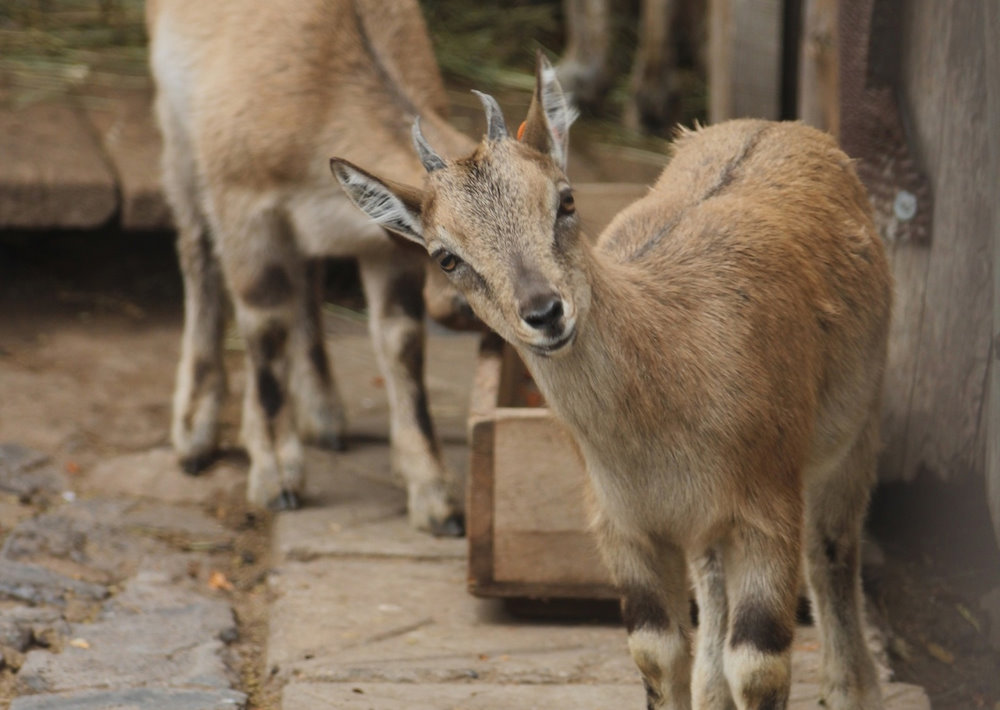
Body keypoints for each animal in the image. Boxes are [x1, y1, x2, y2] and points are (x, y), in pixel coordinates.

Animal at [148, 0, 476, 536]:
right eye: (449, 248)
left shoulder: (385, 244)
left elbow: (402, 342)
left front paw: (435, 495)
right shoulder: (244, 203)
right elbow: (264, 326)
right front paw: (278, 478)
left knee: (306, 274)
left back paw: (322, 411)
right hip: (179, 133)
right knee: (197, 248)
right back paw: (196, 431)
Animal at [336, 55, 892, 710]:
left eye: (566, 200)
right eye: (446, 256)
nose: (545, 312)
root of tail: (781, 127)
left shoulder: (767, 507)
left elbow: (758, 662)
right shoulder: (626, 525)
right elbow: (656, 649)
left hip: (853, 433)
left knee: (832, 550)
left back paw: (850, 686)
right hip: (704, 524)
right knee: (713, 587)